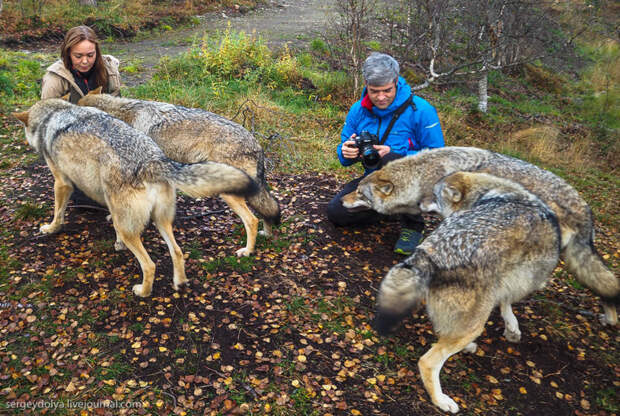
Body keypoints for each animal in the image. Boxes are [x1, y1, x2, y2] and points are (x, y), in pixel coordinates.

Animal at [13, 99, 256, 298]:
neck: (53, 115)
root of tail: (153, 161)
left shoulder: (62, 183)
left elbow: (57, 213)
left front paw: (50, 228)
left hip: (133, 230)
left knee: (150, 265)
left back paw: (143, 291)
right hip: (161, 221)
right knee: (177, 252)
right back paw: (179, 283)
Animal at [77, 91, 280, 256]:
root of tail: (257, 144)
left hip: (230, 191)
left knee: (252, 220)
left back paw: (247, 251)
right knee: (267, 209)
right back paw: (267, 234)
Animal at [372, 171, 560, 412]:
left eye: (433, 194)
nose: (418, 204)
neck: (488, 194)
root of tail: (431, 253)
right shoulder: (521, 277)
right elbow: (507, 301)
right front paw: (512, 329)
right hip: (475, 324)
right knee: (428, 361)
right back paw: (442, 400)